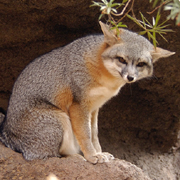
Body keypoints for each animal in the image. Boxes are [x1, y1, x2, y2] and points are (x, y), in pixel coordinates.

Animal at [0, 21, 174, 164]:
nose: (130, 77)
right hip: (59, 118)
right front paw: (92, 156)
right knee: (43, 156)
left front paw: (99, 152)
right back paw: (76, 158)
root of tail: (7, 132)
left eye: (140, 64)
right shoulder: (79, 105)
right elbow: (85, 134)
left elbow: (94, 134)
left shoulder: (95, 107)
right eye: (121, 60)